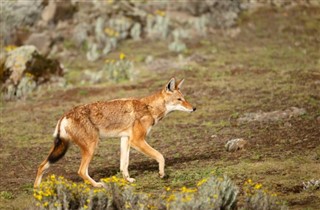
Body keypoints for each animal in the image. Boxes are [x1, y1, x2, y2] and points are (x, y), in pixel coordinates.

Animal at [34, 78, 195, 188]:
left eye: (184, 99)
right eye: (179, 99)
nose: (194, 108)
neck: (149, 108)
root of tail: (65, 115)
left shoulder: (126, 139)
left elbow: (124, 165)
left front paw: (128, 180)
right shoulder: (137, 141)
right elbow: (160, 156)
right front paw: (161, 173)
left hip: (61, 149)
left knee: (41, 165)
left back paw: (36, 189)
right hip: (91, 147)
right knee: (81, 171)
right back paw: (97, 185)